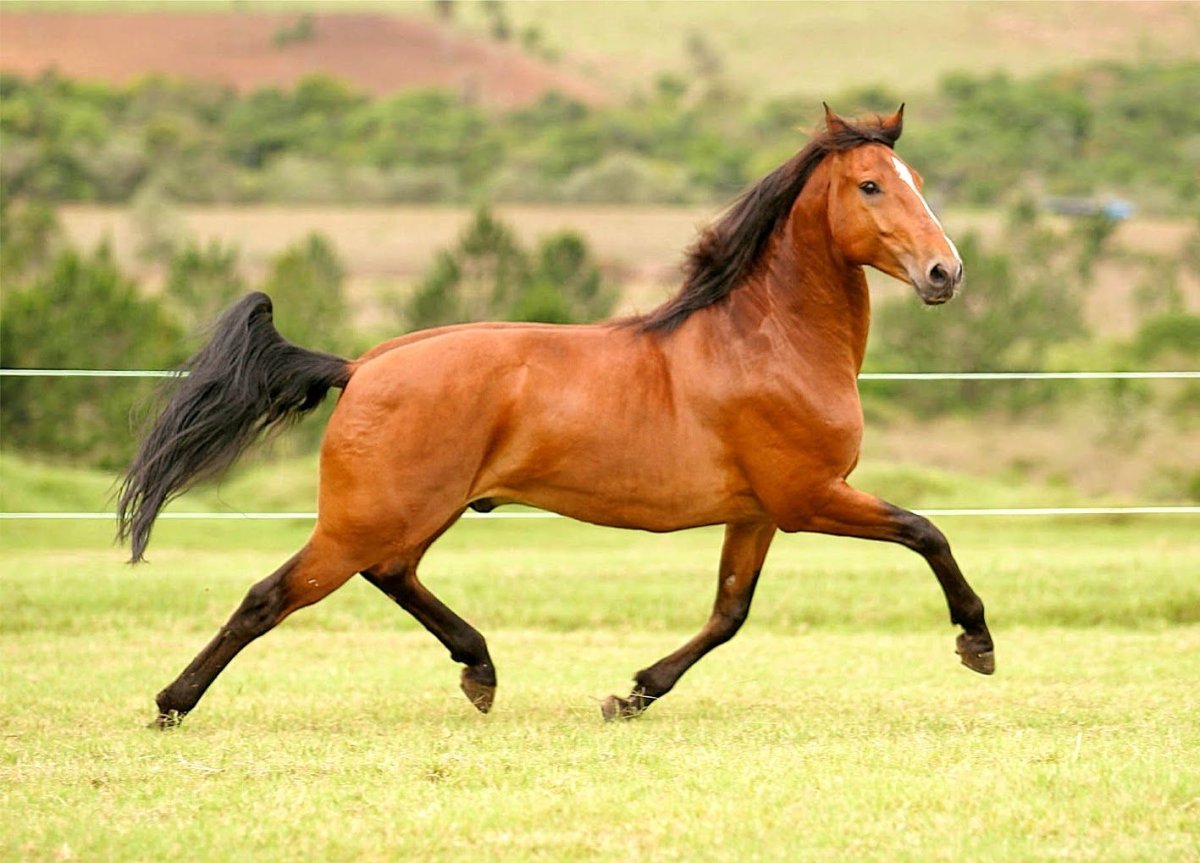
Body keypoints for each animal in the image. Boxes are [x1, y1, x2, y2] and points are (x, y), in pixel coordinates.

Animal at [118, 105, 994, 728]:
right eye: (872, 185)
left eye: (916, 176)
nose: (945, 272)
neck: (768, 341)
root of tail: (361, 366)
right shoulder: (810, 496)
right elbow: (926, 532)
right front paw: (976, 641)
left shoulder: (759, 511)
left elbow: (729, 612)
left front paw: (633, 692)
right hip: (367, 517)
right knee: (270, 596)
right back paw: (171, 702)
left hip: (416, 512)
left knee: (392, 574)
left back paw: (479, 670)